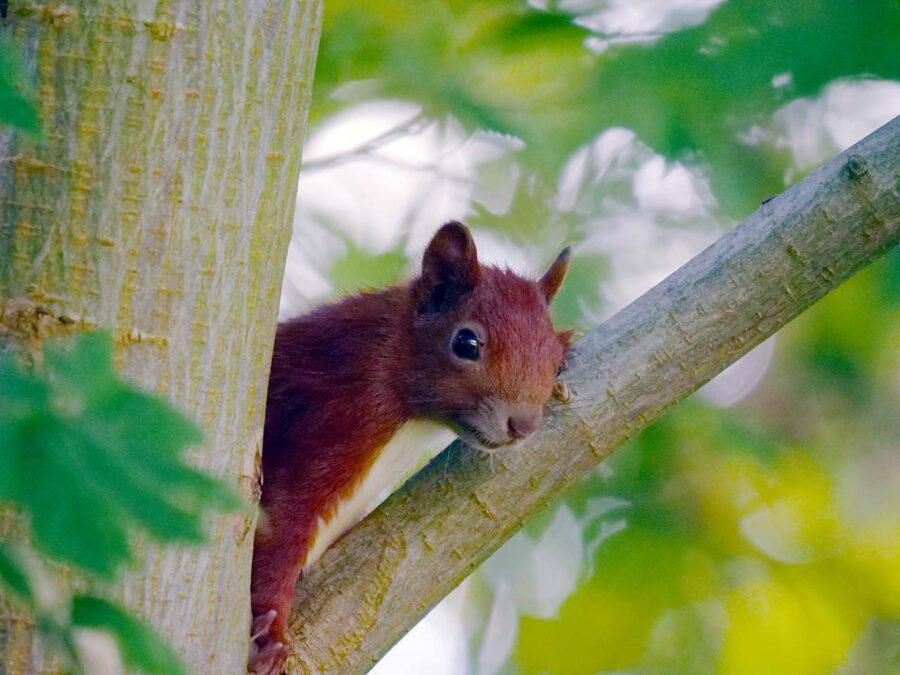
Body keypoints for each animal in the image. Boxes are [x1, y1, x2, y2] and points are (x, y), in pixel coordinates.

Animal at [249, 222, 572, 674]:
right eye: (466, 343)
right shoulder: (333, 415)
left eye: (557, 362)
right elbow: (281, 527)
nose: (522, 426)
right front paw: (270, 632)